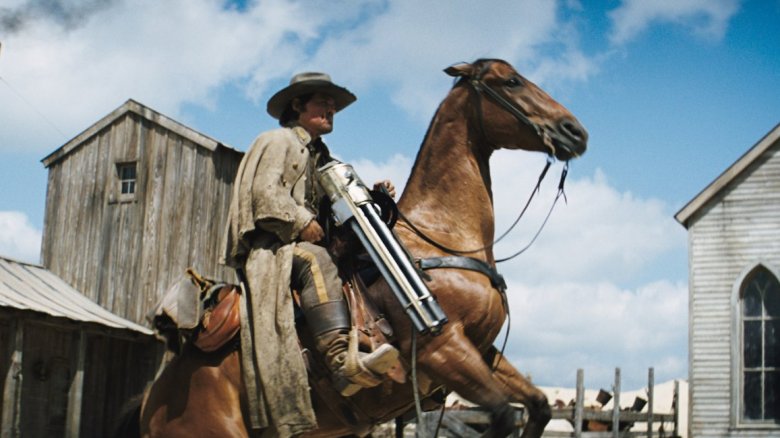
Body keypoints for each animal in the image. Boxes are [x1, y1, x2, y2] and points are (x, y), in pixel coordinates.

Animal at [133, 60, 584, 438]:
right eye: (511, 81)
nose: (575, 131)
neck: (440, 236)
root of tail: (150, 400)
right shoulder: (443, 349)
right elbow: (504, 415)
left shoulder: (484, 351)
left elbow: (538, 406)